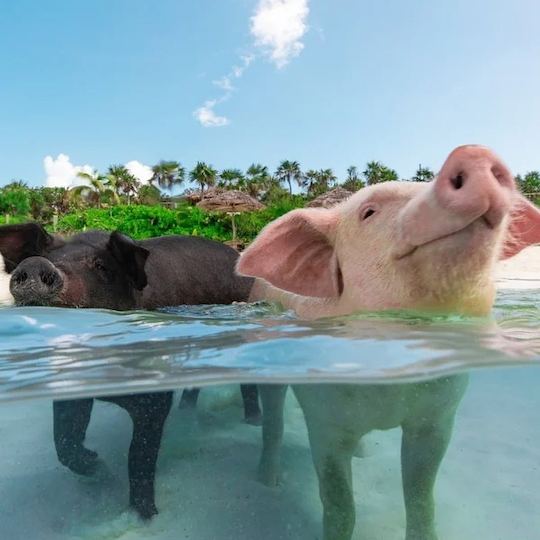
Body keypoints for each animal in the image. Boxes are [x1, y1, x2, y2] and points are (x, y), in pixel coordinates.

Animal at [236, 144, 540, 540]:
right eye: (369, 212)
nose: (472, 151)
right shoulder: (324, 422)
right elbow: (339, 502)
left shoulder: (437, 418)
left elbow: (421, 494)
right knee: (273, 422)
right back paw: (267, 482)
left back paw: (363, 453)